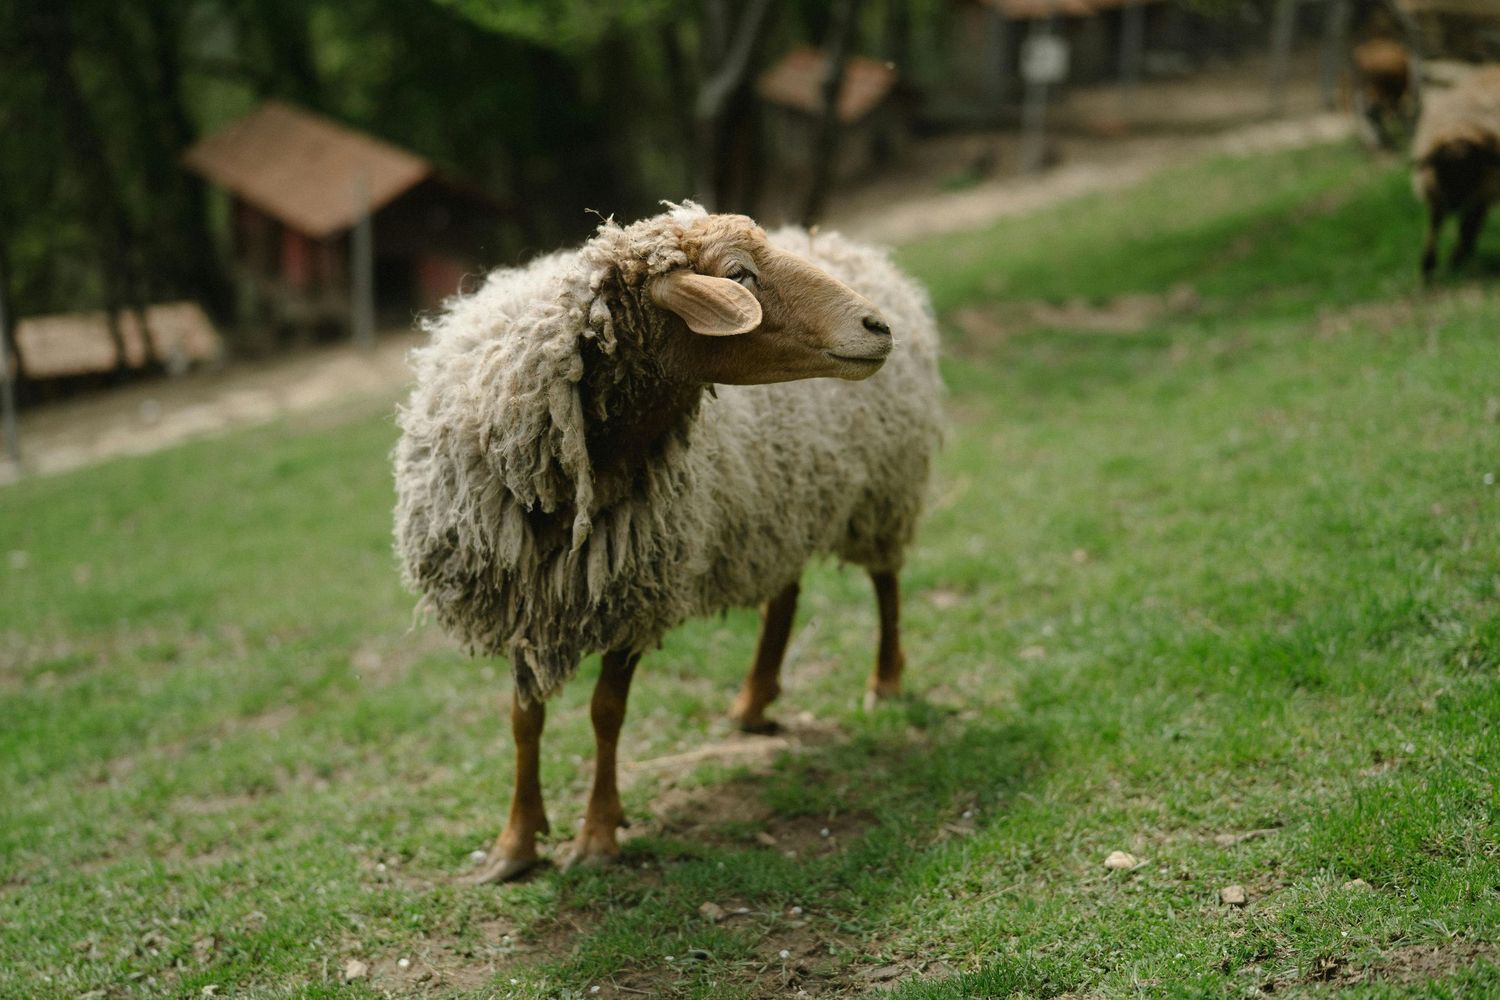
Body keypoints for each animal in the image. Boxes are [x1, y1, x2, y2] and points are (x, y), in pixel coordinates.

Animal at [393, 204, 942, 882]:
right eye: (740, 274)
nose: (877, 327)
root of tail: (850, 246)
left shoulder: (634, 592)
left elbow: (606, 712)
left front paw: (598, 834)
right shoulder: (523, 599)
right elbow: (525, 719)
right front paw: (514, 844)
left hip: (883, 488)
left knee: (886, 581)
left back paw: (885, 681)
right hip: (780, 505)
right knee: (786, 593)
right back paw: (754, 701)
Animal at [1413, 66, 1500, 280]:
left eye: (1474, 167)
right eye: (1444, 168)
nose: (1454, 204)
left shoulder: (1479, 192)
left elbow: (1466, 226)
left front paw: (1454, 261)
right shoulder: (1436, 194)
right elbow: (1434, 226)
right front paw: (1427, 266)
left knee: (1471, 224)